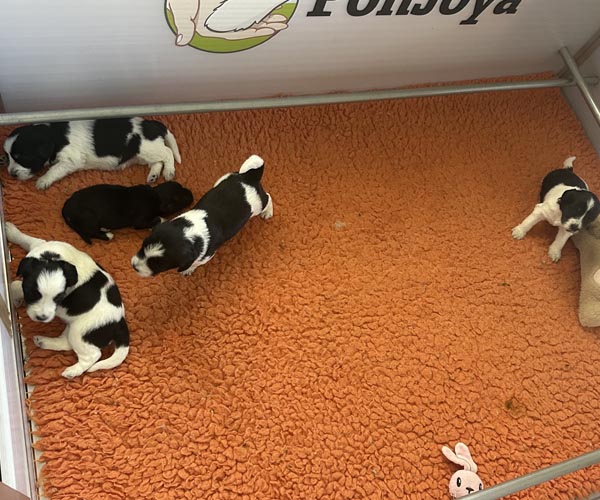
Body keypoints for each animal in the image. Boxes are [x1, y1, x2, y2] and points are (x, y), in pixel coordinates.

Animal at [2, 117, 181, 190]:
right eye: (8, 157)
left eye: (22, 157)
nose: (12, 174)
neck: (52, 135)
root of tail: (153, 124)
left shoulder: (71, 160)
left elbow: (54, 169)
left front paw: (43, 180)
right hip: (143, 154)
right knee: (157, 161)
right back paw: (153, 175)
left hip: (147, 148)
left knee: (167, 153)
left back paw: (169, 171)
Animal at [6, 223, 129, 378]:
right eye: (33, 294)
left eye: (58, 298)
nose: (42, 318)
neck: (52, 259)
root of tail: (119, 322)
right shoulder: (38, 246)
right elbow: (28, 240)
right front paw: (11, 231)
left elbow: (15, 285)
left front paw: (15, 297)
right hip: (72, 326)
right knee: (66, 343)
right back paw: (44, 341)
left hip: (79, 331)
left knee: (92, 355)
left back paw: (73, 371)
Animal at [62, 181, 194, 244]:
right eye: (180, 200)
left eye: (181, 186)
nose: (191, 194)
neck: (156, 195)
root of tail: (66, 208)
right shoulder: (139, 222)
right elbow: (156, 219)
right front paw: (161, 219)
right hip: (89, 218)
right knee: (91, 232)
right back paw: (107, 235)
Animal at [131, 154, 273, 277]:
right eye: (143, 245)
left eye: (157, 264)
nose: (134, 266)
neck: (188, 231)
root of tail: (249, 177)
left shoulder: (206, 256)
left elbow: (194, 263)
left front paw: (188, 270)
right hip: (224, 178)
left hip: (258, 205)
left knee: (268, 197)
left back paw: (267, 212)